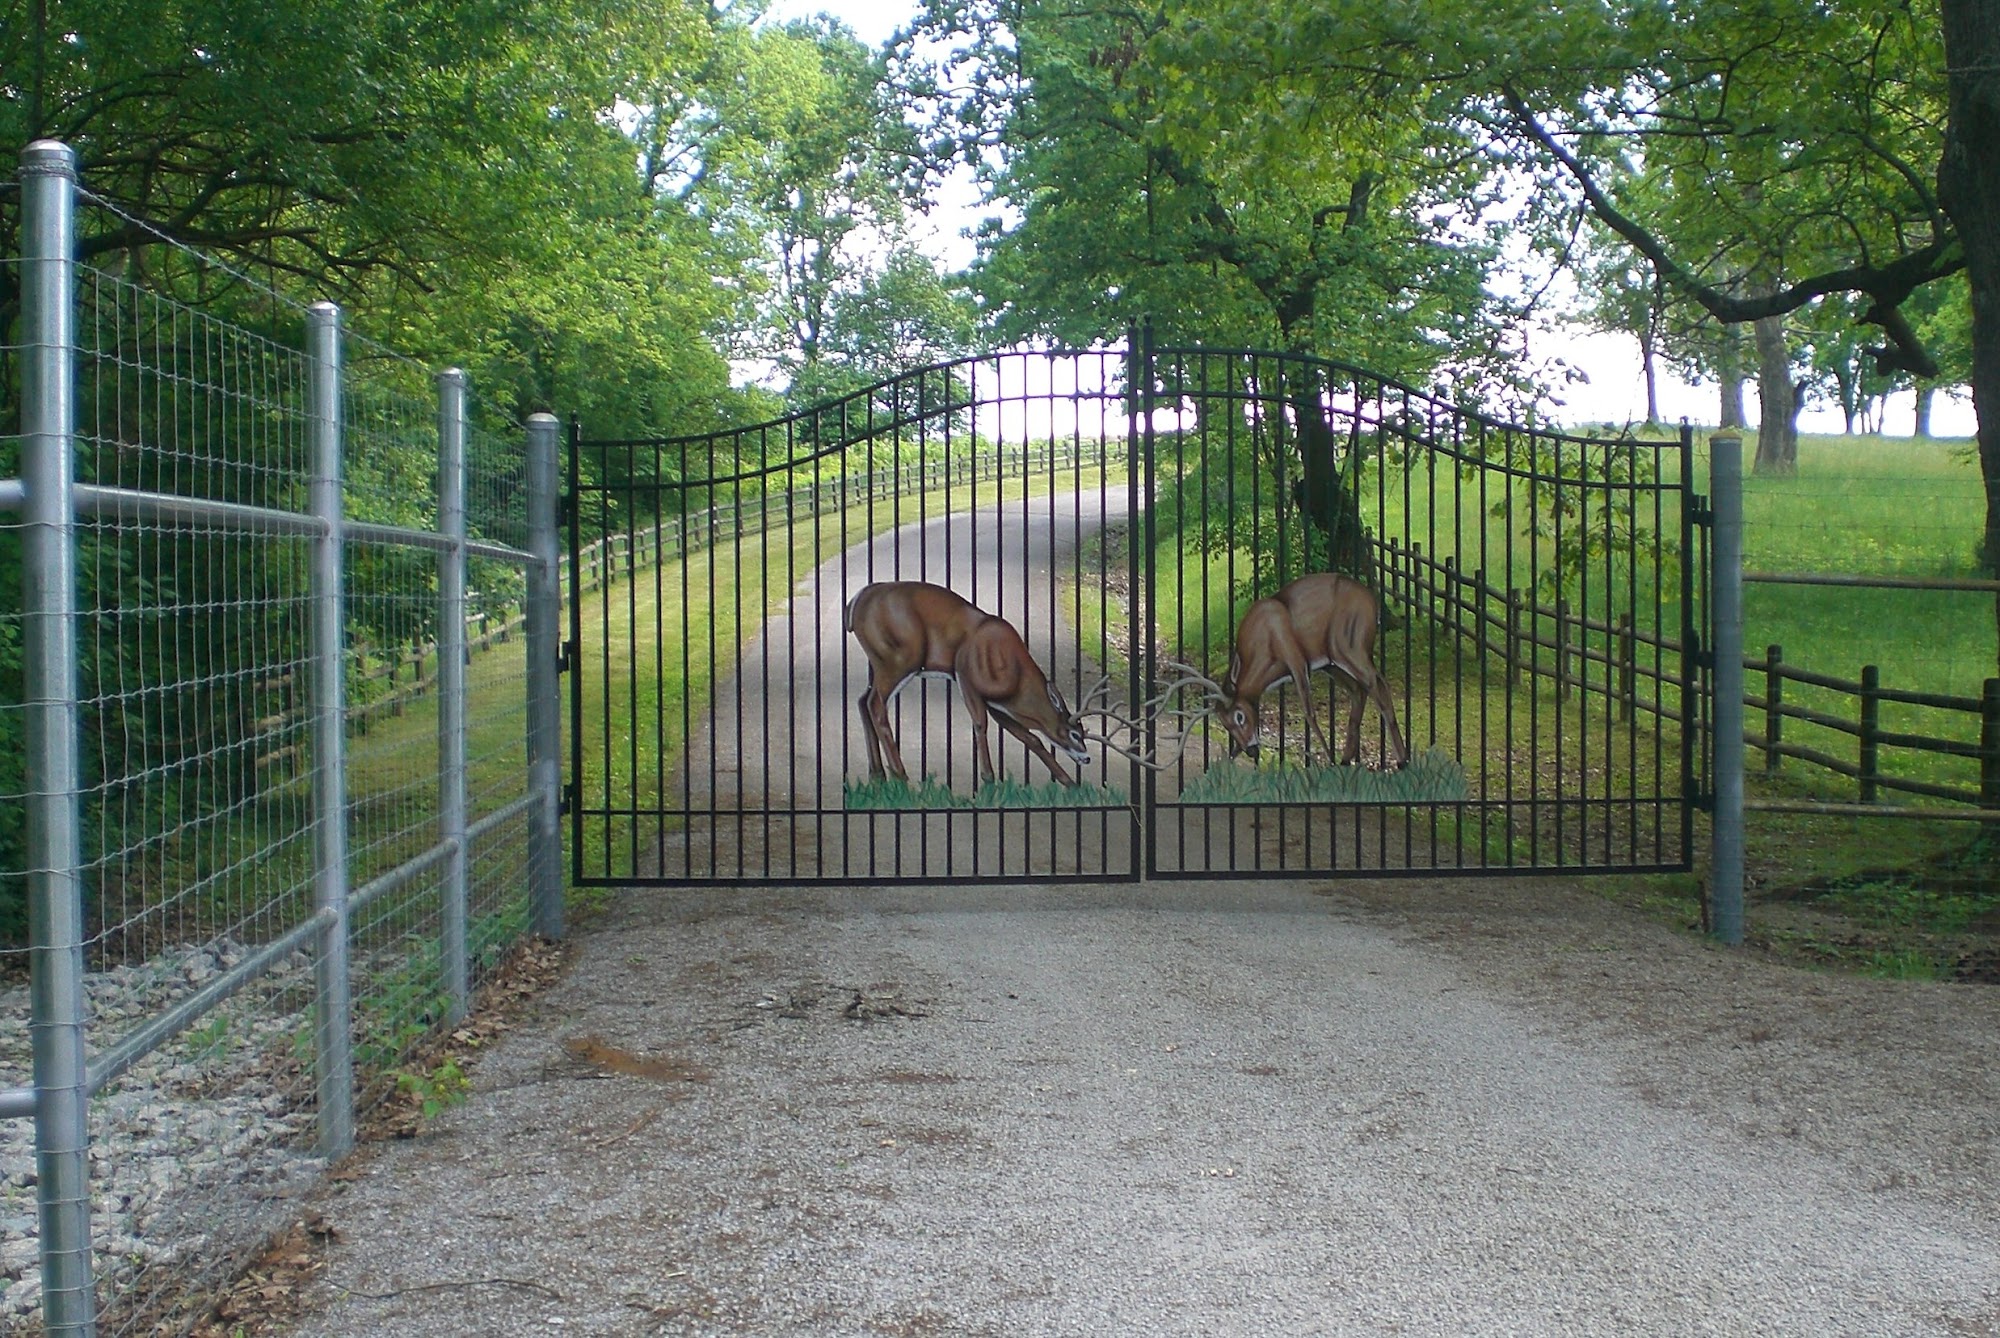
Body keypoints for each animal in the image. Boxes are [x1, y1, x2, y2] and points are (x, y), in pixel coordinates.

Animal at [844, 580, 1096, 788]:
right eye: (1074, 734)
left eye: (1083, 732)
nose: (1086, 758)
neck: (1016, 678)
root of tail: (854, 602)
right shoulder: (966, 675)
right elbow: (980, 724)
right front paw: (989, 778)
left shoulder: (996, 703)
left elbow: (1030, 738)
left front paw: (1070, 783)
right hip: (899, 658)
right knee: (876, 704)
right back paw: (899, 774)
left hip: (879, 661)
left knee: (863, 700)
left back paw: (878, 774)